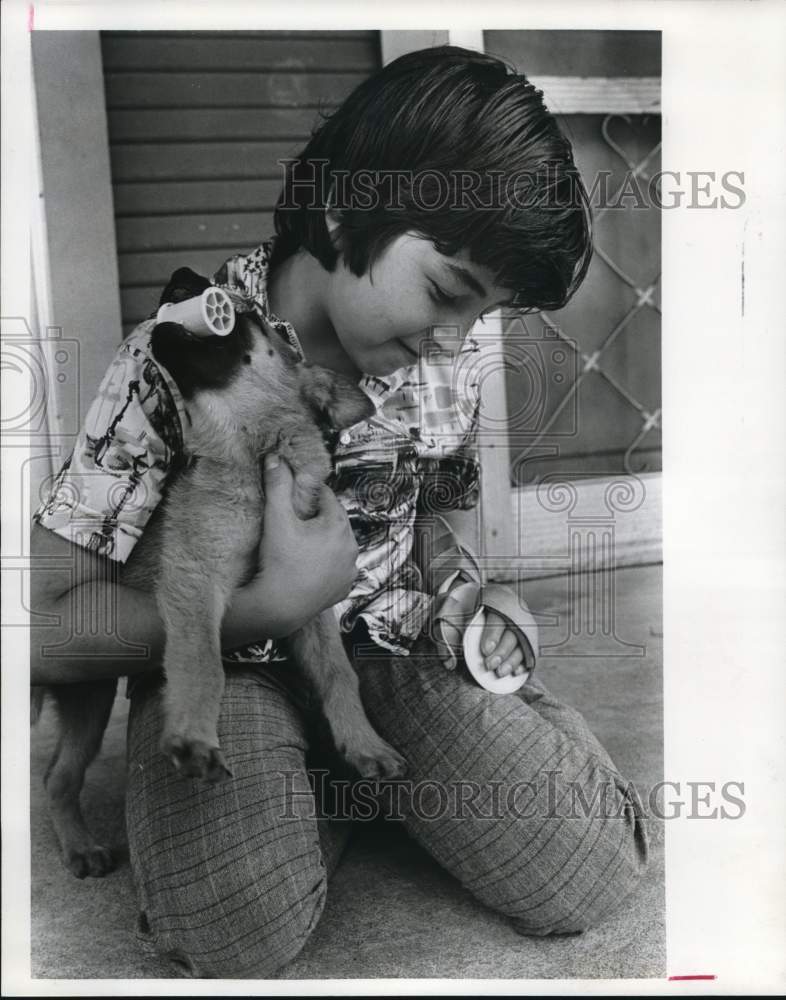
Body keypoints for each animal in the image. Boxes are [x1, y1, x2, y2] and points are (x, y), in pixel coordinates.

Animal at [35, 270, 404, 880]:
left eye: (246, 315)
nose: (182, 277)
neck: (250, 457)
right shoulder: (194, 583)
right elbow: (204, 660)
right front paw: (194, 735)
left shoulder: (310, 605)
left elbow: (336, 672)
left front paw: (364, 743)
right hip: (88, 694)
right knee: (57, 777)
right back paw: (79, 845)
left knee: (55, 775)